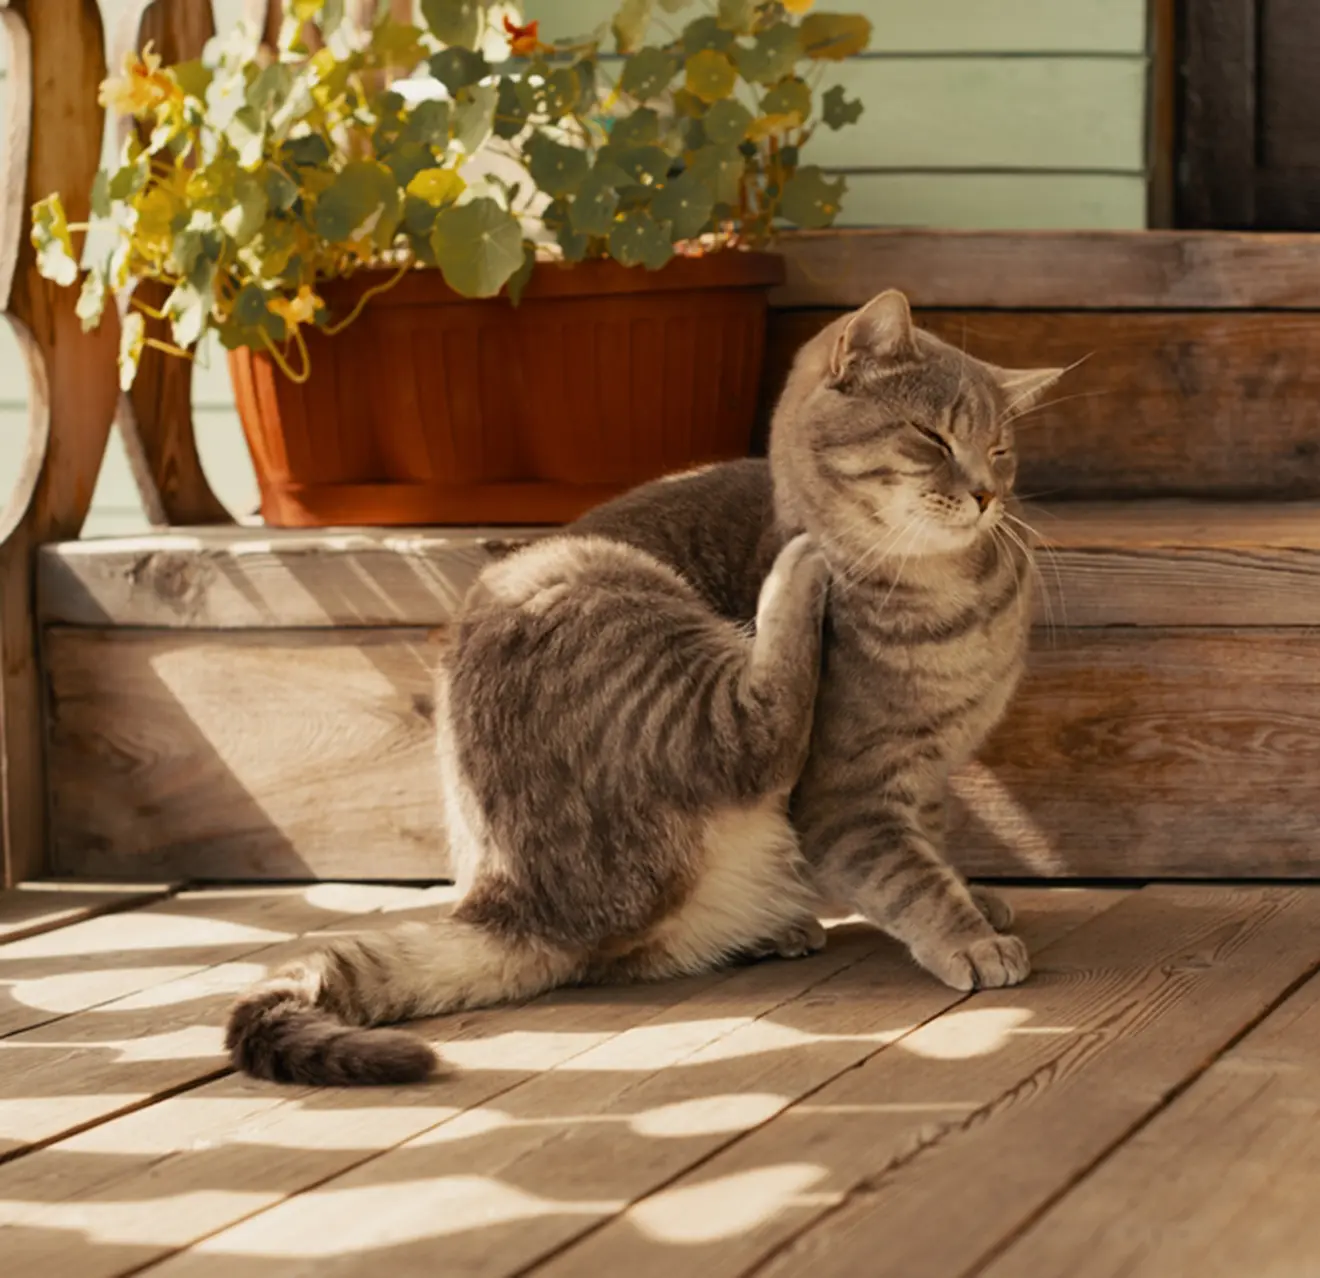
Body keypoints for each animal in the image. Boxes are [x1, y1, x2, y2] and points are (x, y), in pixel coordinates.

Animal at [227, 286, 1061, 1077]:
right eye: (932, 437)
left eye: (1000, 449)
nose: (987, 494)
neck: (956, 600)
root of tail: (513, 900)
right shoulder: (846, 796)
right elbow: (908, 875)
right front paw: (969, 937)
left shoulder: (927, 776)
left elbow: (933, 846)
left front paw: (976, 898)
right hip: (604, 595)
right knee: (755, 733)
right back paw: (797, 574)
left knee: (629, 955)